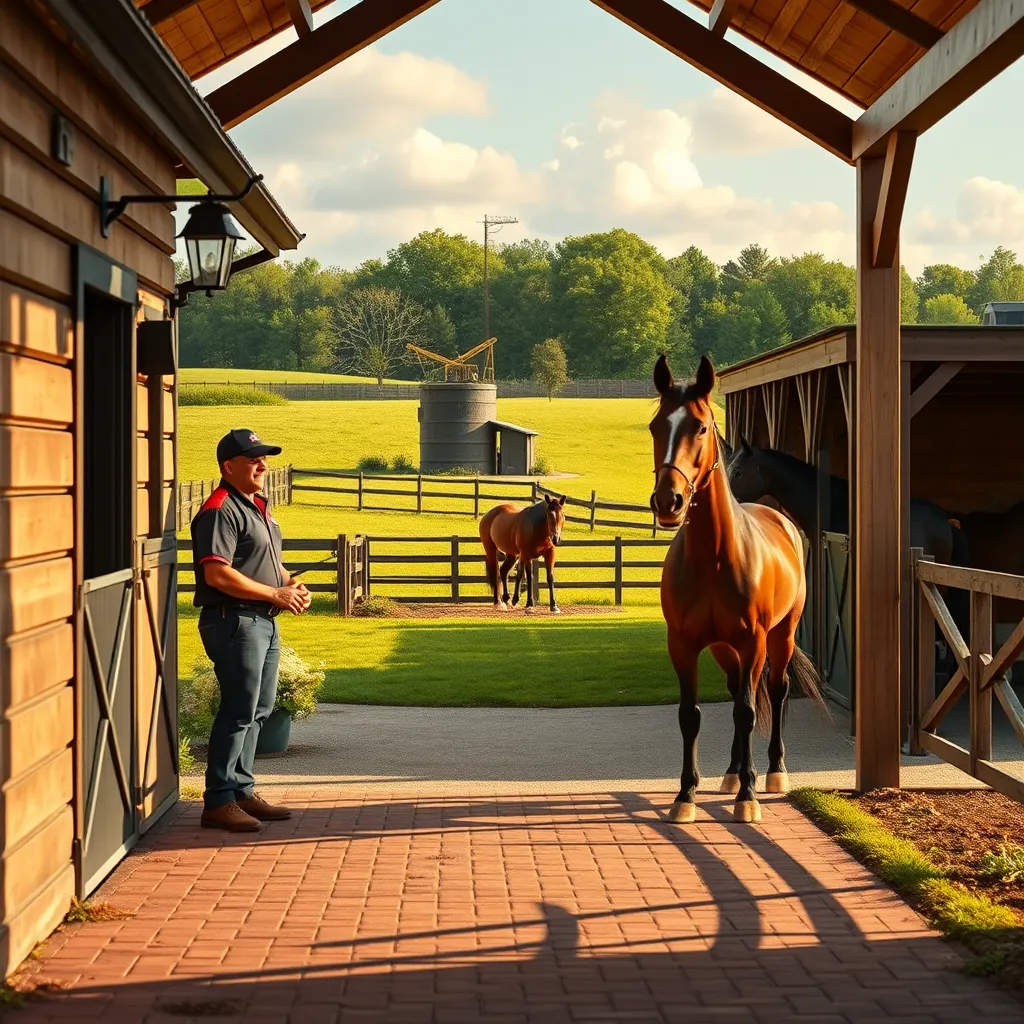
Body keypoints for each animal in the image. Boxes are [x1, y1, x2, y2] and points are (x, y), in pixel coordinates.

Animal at [649, 354, 826, 825]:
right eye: (655, 426)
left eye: (700, 427)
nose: (668, 502)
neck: (714, 559)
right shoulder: (684, 644)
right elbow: (690, 716)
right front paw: (686, 796)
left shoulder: (753, 642)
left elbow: (748, 712)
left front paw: (748, 798)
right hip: (723, 649)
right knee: (734, 694)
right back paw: (731, 773)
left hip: (780, 637)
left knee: (775, 692)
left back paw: (772, 773)